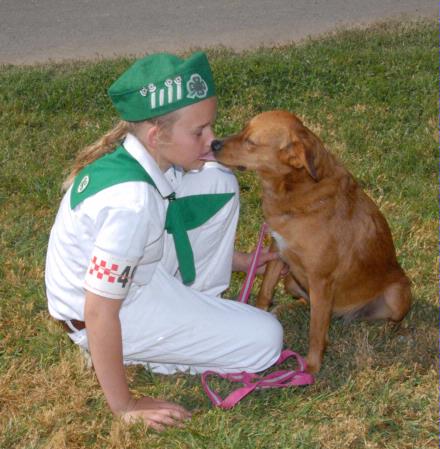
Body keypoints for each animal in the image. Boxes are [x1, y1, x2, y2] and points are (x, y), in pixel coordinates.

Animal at [211, 111, 410, 372]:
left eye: (250, 141)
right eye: (243, 130)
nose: (213, 144)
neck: (297, 192)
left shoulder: (321, 280)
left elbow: (316, 332)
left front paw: (311, 368)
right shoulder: (277, 252)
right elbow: (265, 292)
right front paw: (259, 316)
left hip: (398, 294)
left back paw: (389, 330)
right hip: (292, 281)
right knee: (306, 302)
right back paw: (287, 307)